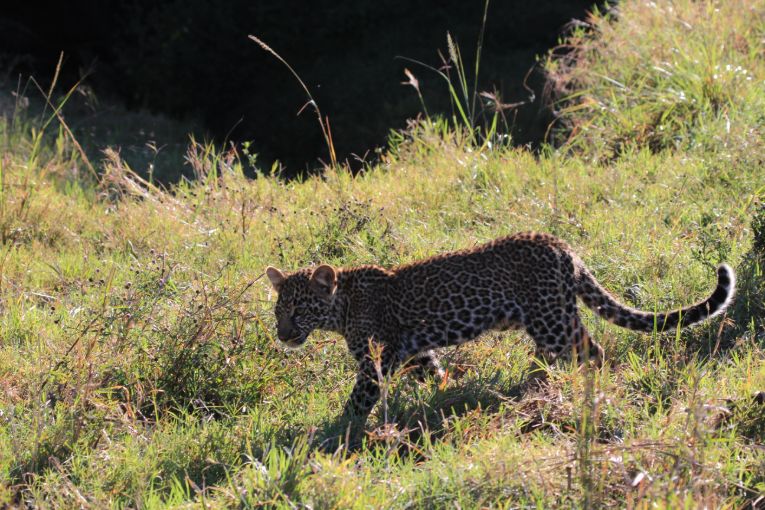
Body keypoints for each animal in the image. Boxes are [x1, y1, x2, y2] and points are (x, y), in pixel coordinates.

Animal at [268, 231, 736, 422]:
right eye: (278, 311)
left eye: (299, 309)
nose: (282, 335)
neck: (342, 305)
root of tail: (561, 246)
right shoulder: (416, 351)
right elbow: (434, 372)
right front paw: (445, 394)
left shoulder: (374, 363)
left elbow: (355, 403)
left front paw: (332, 436)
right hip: (550, 316)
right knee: (563, 350)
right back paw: (536, 384)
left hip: (550, 319)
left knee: (593, 351)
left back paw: (587, 387)